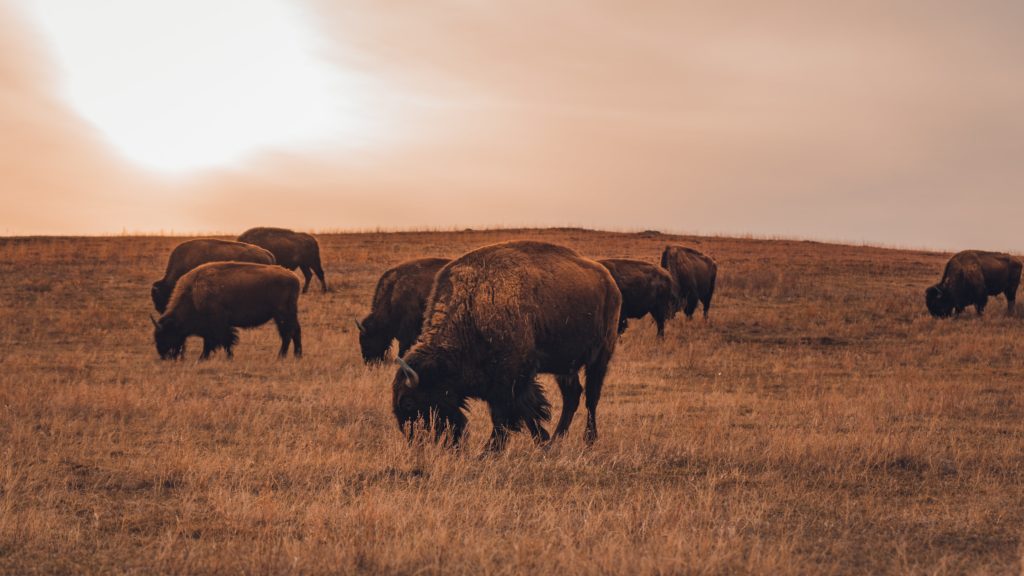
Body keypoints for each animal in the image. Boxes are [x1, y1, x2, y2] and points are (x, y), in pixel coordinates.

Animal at [151, 261, 301, 358]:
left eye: (167, 333)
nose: (163, 355)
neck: (193, 293)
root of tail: (293, 277)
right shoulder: (210, 327)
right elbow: (211, 342)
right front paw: (204, 357)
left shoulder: (218, 323)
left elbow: (224, 340)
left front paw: (227, 357)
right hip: (287, 313)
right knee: (295, 331)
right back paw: (297, 355)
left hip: (282, 314)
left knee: (288, 333)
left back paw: (281, 356)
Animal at [389, 239, 618, 450]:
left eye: (408, 402)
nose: (415, 441)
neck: (473, 305)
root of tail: (609, 281)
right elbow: (527, 412)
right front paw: (543, 443)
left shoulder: (511, 378)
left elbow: (506, 415)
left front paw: (488, 451)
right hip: (564, 366)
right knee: (572, 396)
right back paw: (557, 439)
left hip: (600, 356)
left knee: (592, 397)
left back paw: (589, 440)